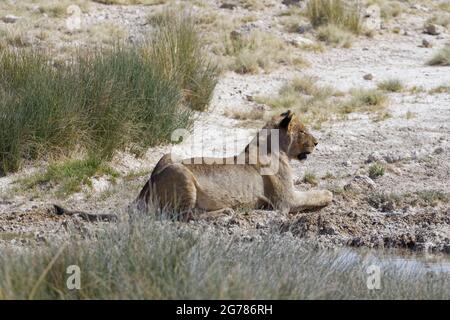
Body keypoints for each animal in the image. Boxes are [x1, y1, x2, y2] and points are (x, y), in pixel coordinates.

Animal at [135, 110, 332, 218]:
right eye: (303, 131)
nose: (316, 143)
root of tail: (143, 192)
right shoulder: (286, 200)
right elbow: (316, 195)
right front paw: (328, 194)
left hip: (168, 155)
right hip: (180, 173)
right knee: (186, 215)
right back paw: (225, 212)